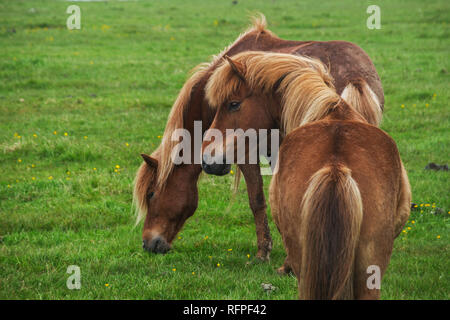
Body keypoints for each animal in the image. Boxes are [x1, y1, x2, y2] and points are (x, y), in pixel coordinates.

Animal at [133, 13, 384, 262]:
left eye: (151, 194)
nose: (148, 243)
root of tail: (356, 76)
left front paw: (265, 251)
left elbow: (258, 200)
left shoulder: (247, 154)